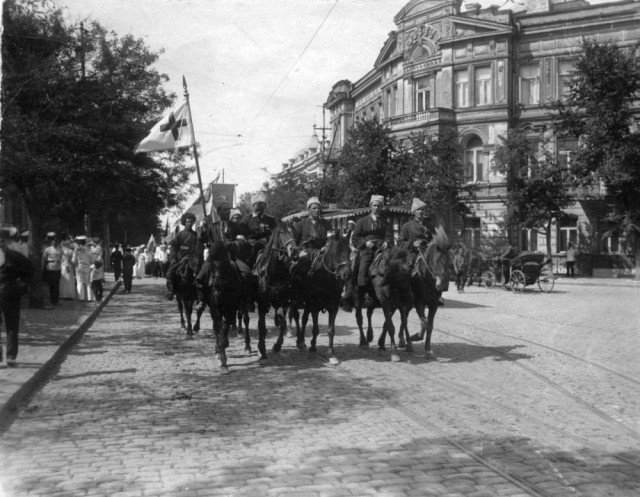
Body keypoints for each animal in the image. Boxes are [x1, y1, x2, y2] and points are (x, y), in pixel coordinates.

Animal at [208, 242, 242, 374]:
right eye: (211, 263)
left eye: (225, 262)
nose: (216, 285)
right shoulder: (215, 309)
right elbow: (219, 329)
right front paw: (222, 361)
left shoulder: (230, 308)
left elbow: (226, 326)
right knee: (216, 328)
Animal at [252, 223, 298, 358]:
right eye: (281, 232)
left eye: (293, 231)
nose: (294, 250)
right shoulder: (262, 303)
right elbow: (261, 326)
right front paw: (261, 348)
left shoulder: (284, 301)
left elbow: (283, 324)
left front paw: (277, 345)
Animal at [294, 234, 352, 366]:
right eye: (336, 251)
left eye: (350, 251)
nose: (347, 274)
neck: (326, 277)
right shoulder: (315, 306)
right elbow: (315, 329)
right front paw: (313, 348)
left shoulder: (333, 307)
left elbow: (331, 330)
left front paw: (331, 354)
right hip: (297, 300)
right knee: (296, 316)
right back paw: (299, 341)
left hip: (307, 303)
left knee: (304, 319)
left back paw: (303, 342)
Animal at [400, 227, 456, 358]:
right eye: (436, 261)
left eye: (449, 262)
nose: (442, 285)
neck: (427, 279)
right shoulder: (419, 303)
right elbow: (424, 323)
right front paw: (416, 337)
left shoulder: (433, 304)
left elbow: (430, 326)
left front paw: (428, 350)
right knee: (404, 319)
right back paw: (408, 344)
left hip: (409, 304)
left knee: (404, 318)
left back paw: (402, 340)